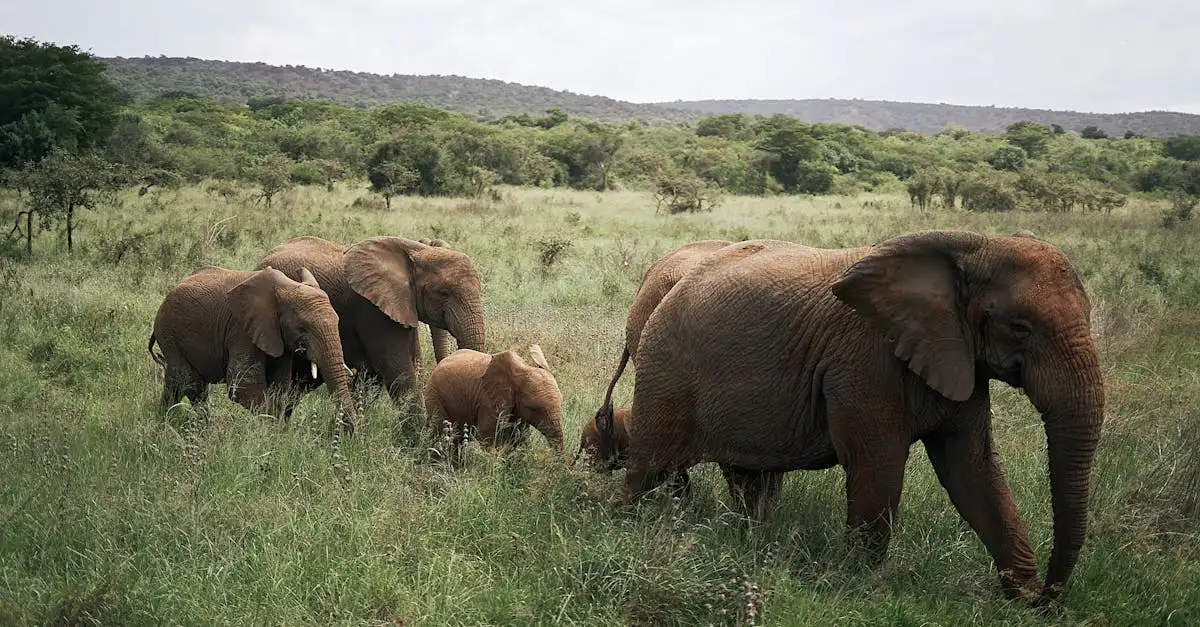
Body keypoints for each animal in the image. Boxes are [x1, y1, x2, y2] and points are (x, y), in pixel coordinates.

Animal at [147, 266, 356, 434]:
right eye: (302, 328)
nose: (347, 434)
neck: (283, 289)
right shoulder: (241, 330)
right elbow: (242, 386)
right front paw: (273, 433)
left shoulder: (276, 336)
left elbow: (279, 386)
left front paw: (279, 434)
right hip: (169, 332)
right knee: (191, 385)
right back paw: (204, 431)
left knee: (176, 382)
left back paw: (165, 421)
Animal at [423, 344, 565, 462]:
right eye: (534, 408)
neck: (523, 369)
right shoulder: (488, 402)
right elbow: (486, 438)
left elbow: (519, 438)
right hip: (434, 396)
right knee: (447, 435)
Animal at [621, 230, 1104, 605]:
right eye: (1020, 327)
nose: (1048, 598)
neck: (974, 246)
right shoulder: (864, 362)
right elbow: (879, 466)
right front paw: (858, 586)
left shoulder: (959, 358)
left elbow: (973, 471)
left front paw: (1019, 599)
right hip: (666, 367)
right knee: (650, 466)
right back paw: (626, 524)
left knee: (745, 477)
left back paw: (747, 539)